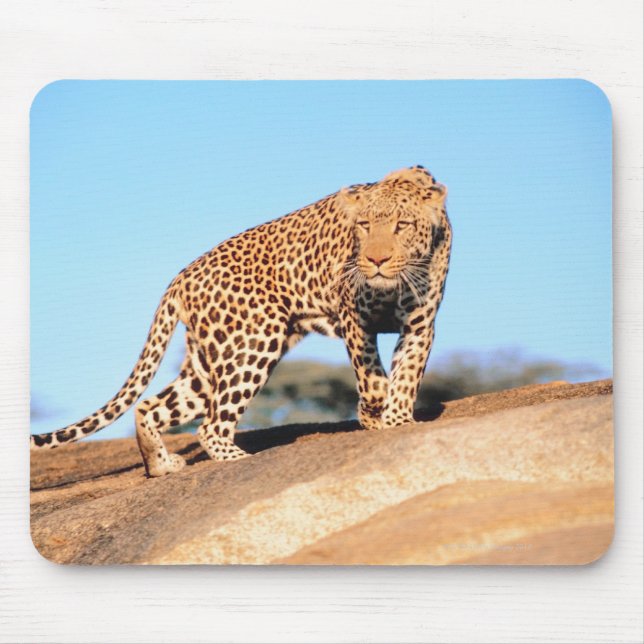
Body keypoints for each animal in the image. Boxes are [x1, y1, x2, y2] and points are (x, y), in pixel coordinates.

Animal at [31, 166, 452, 477]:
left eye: (401, 226)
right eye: (363, 225)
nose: (376, 260)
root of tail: (181, 277)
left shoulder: (419, 324)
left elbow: (407, 375)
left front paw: (398, 421)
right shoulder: (355, 317)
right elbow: (372, 376)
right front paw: (373, 411)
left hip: (208, 362)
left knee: (150, 406)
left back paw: (161, 465)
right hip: (255, 340)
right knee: (210, 425)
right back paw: (239, 459)